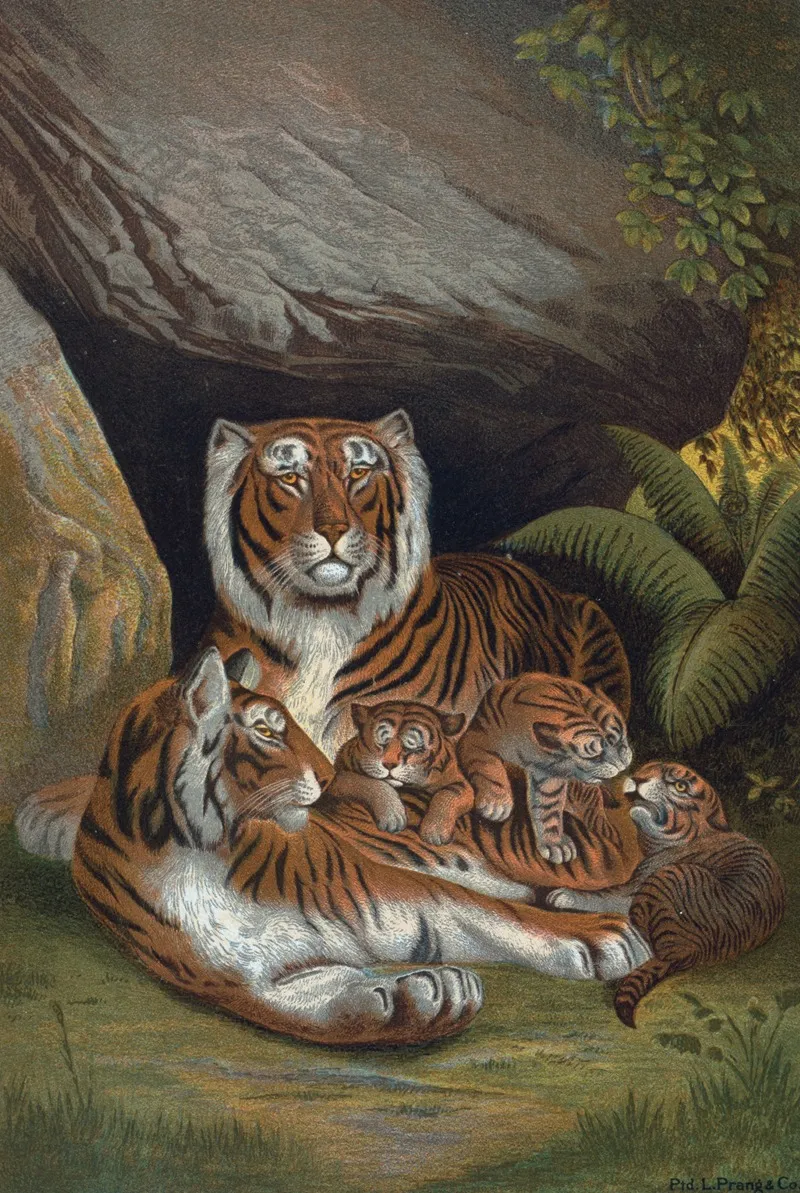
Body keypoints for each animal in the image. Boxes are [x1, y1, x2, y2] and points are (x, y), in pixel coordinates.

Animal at [328, 701, 472, 844]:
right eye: (382, 742)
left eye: (413, 747)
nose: (389, 764)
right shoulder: (339, 779)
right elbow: (367, 782)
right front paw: (392, 816)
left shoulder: (461, 783)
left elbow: (449, 793)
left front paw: (435, 831)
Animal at [456, 674, 632, 864]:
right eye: (594, 755)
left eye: (620, 738)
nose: (622, 763)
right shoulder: (476, 739)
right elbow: (488, 766)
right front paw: (496, 802)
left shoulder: (550, 775)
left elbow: (549, 808)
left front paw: (555, 844)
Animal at [546, 762, 786, 1027]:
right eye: (646, 769)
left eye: (680, 786)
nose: (638, 779)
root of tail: (684, 950)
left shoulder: (633, 886)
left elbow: (600, 896)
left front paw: (562, 894)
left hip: (668, 875)